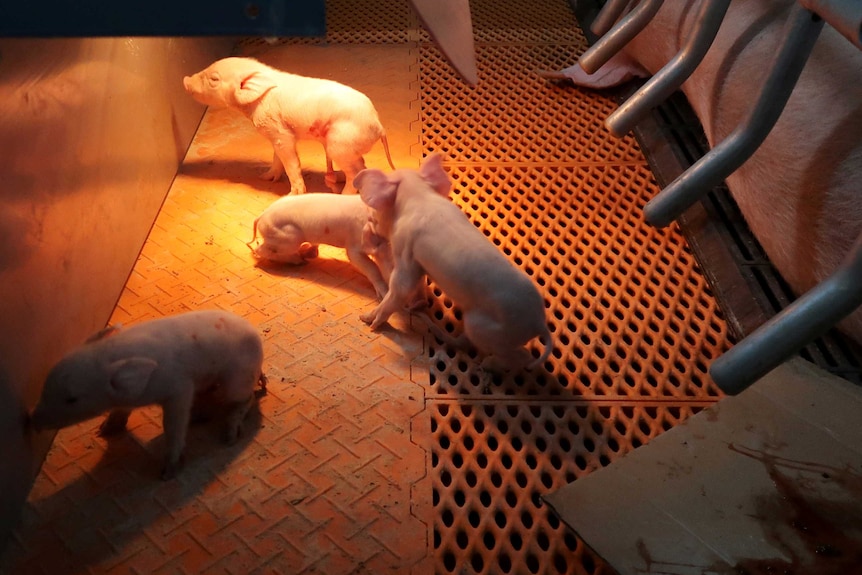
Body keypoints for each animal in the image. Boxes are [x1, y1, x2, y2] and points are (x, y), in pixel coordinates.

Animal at [30, 312, 264, 480]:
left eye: (72, 399)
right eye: (46, 386)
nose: (32, 420)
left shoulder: (179, 389)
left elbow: (173, 425)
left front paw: (168, 473)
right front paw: (104, 431)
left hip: (237, 380)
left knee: (246, 399)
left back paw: (229, 436)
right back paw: (200, 416)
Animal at [186, 56, 398, 196]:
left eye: (214, 79)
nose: (185, 79)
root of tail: (379, 126)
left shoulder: (281, 132)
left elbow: (291, 162)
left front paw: (291, 195)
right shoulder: (274, 133)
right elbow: (277, 157)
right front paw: (264, 177)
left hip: (340, 145)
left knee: (354, 170)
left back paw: (342, 194)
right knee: (360, 165)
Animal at [248, 195, 394, 302]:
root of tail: (261, 216)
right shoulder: (354, 246)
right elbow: (371, 267)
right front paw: (382, 295)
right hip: (289, 238)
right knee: (261, 250)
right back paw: (299, 261)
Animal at [356, 154, 552, 374]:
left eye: (376, 209)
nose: (369, 218)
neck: (418, 196)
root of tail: (539, 323)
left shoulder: (405, 248)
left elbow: (401, 287)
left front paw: (367, 321)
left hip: (485, 329)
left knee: (521, 357)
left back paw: (486, 365)